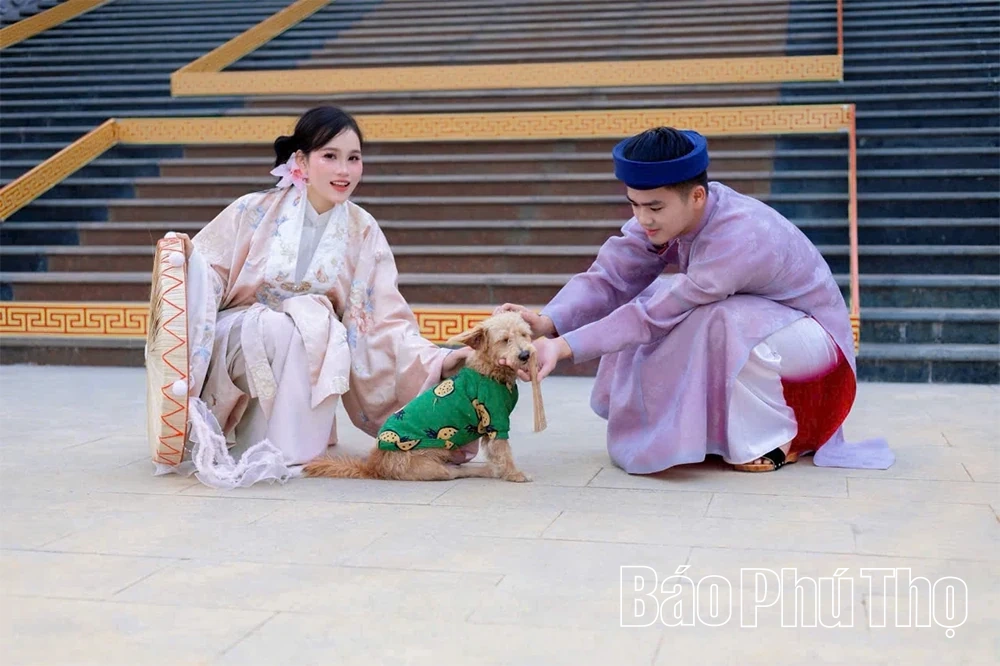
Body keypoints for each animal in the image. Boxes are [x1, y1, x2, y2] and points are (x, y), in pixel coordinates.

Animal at [303, 311, 537, 482]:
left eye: (524, 334)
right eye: (504, 340)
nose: (525, 354)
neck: (490, 371)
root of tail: (374, 465)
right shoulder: (495, 419)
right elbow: (503, 452)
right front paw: (515, 474)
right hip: (430, 466)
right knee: (456, 472)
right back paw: (484, 471)